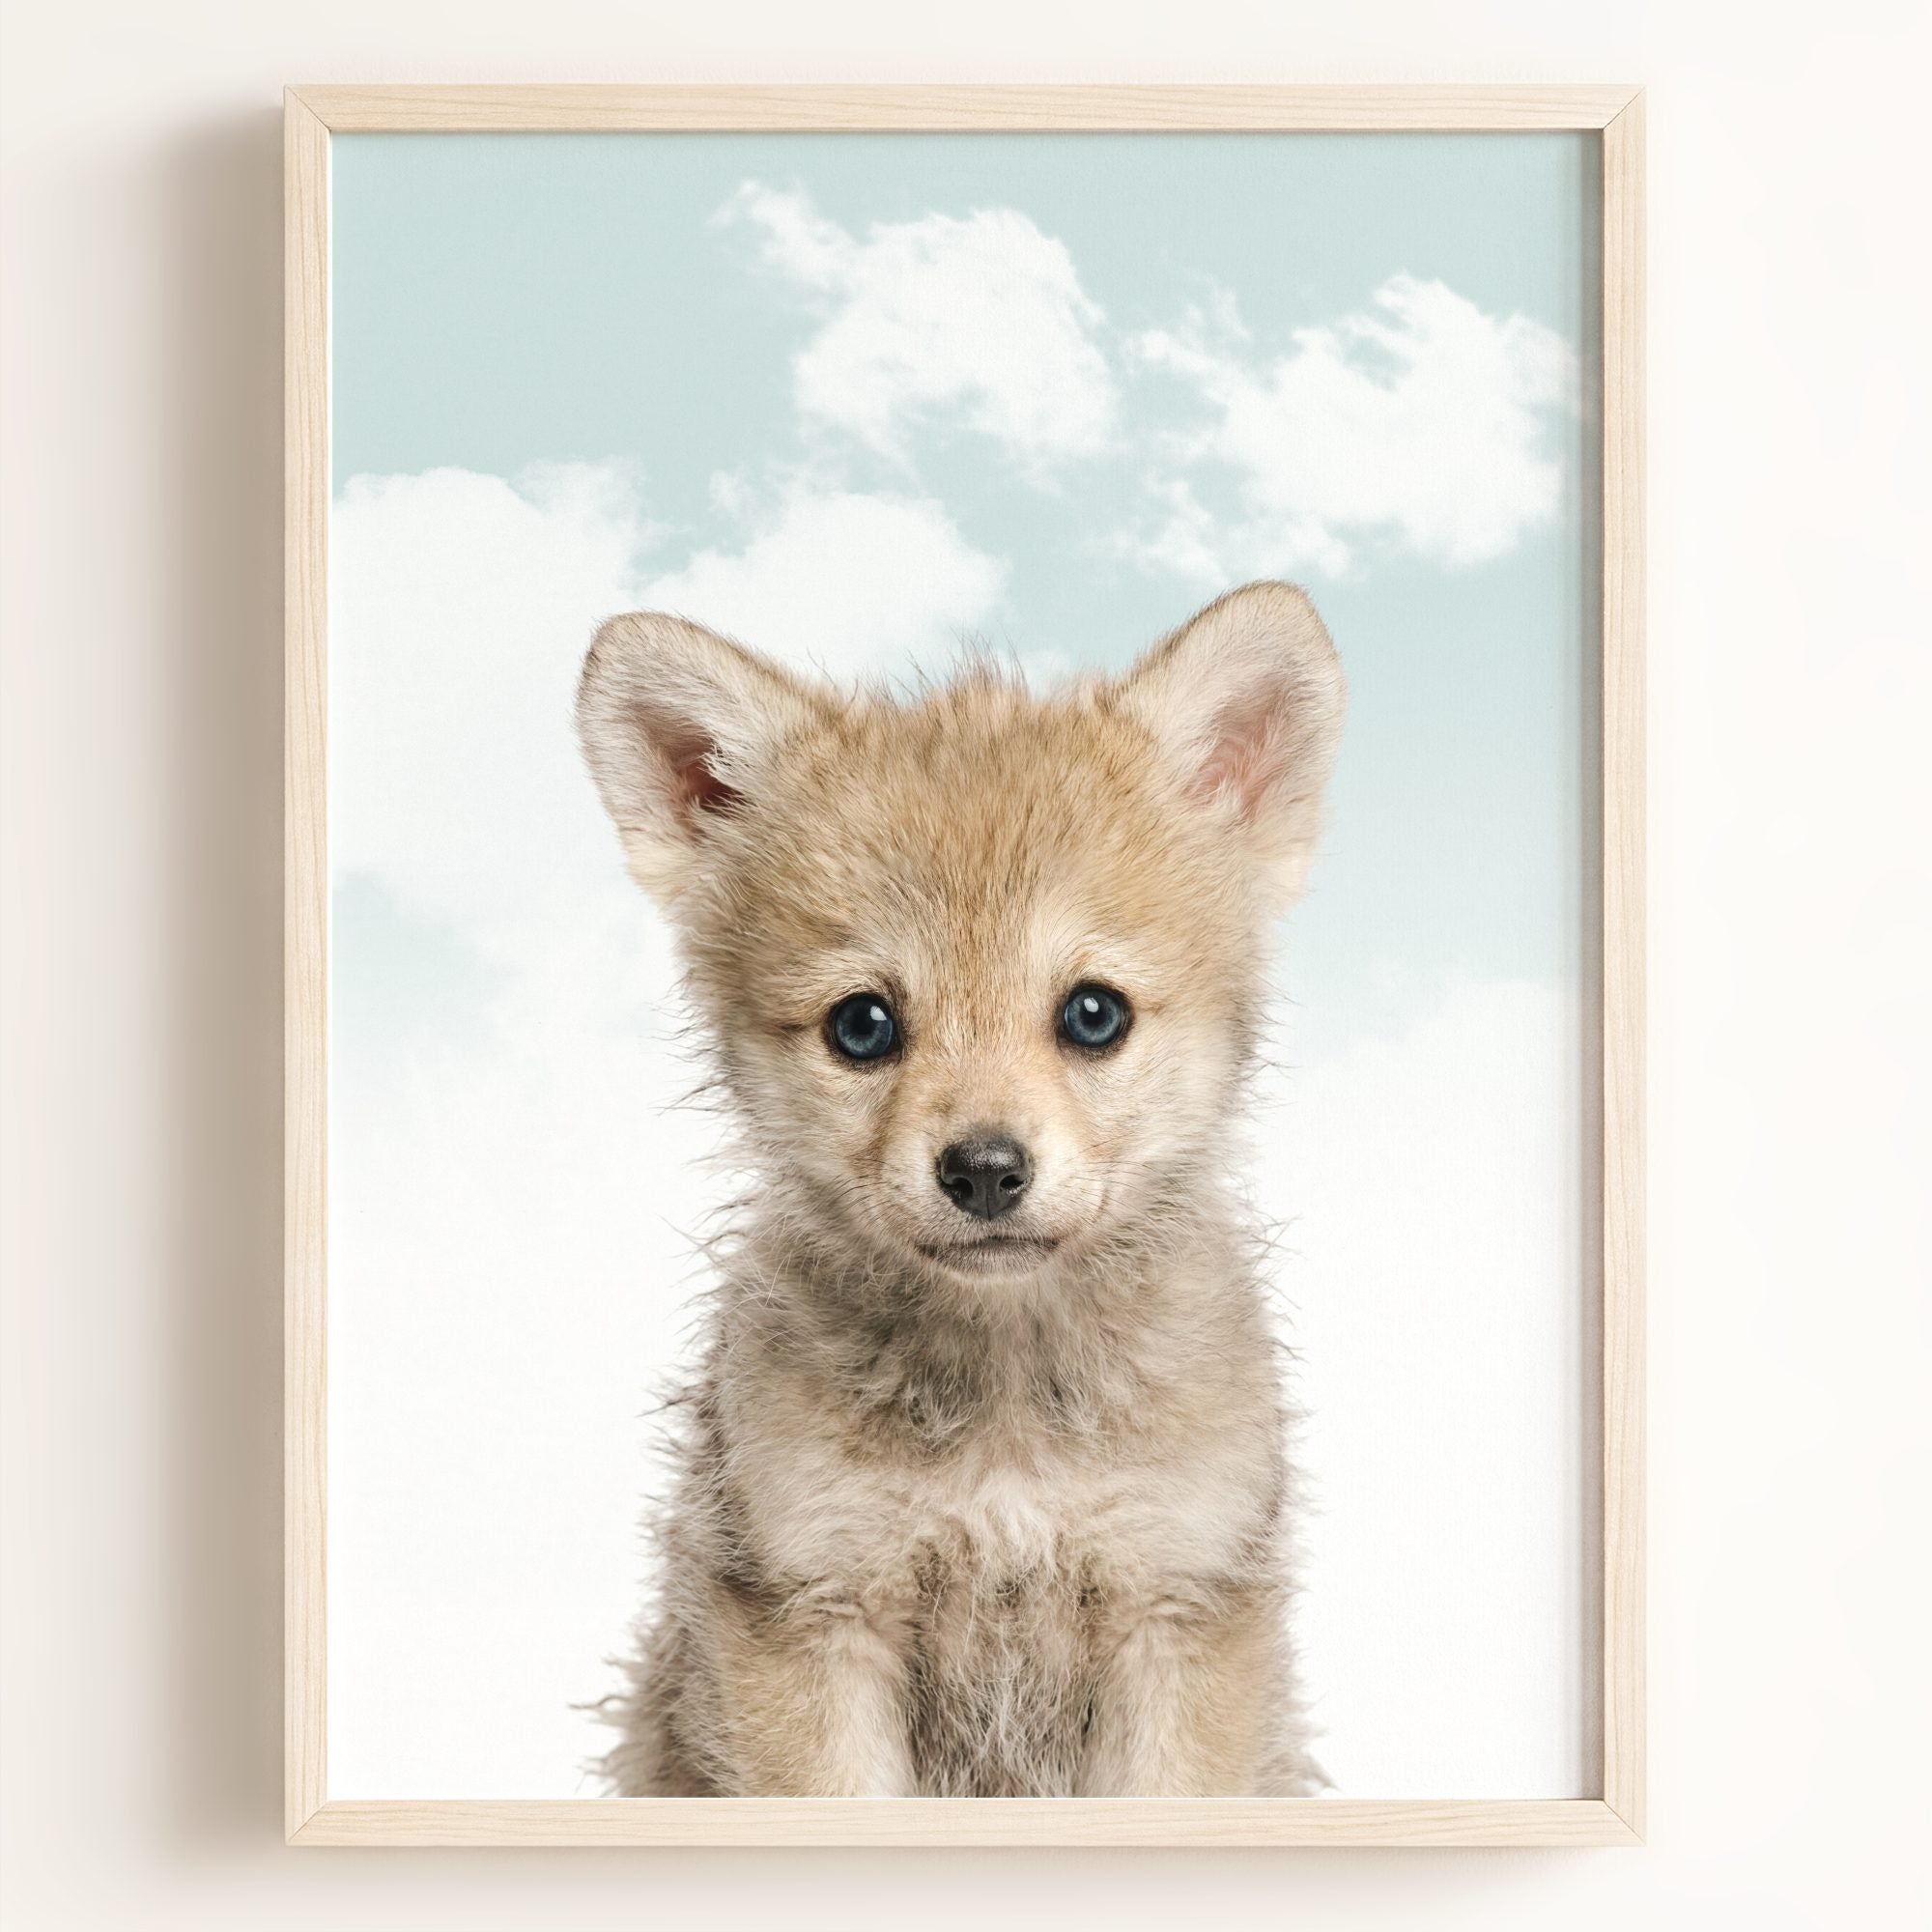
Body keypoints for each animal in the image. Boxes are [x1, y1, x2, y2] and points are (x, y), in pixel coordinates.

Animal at [576, 581, 1345, 1797]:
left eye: (1092, 1012)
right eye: (861, 1024)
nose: (984, 1168)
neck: (1006, 1417)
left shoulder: (1176, 1606)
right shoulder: (811, 1610)